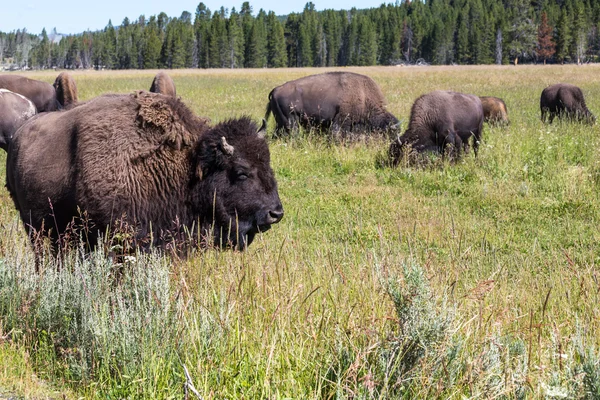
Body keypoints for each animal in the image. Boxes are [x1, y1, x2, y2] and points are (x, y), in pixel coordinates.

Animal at [264, 73, 398, 138]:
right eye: (389, 133)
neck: (363, 96)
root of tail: (276, 90)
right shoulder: (340, 122)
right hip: (290, 121)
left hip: (281, 123)